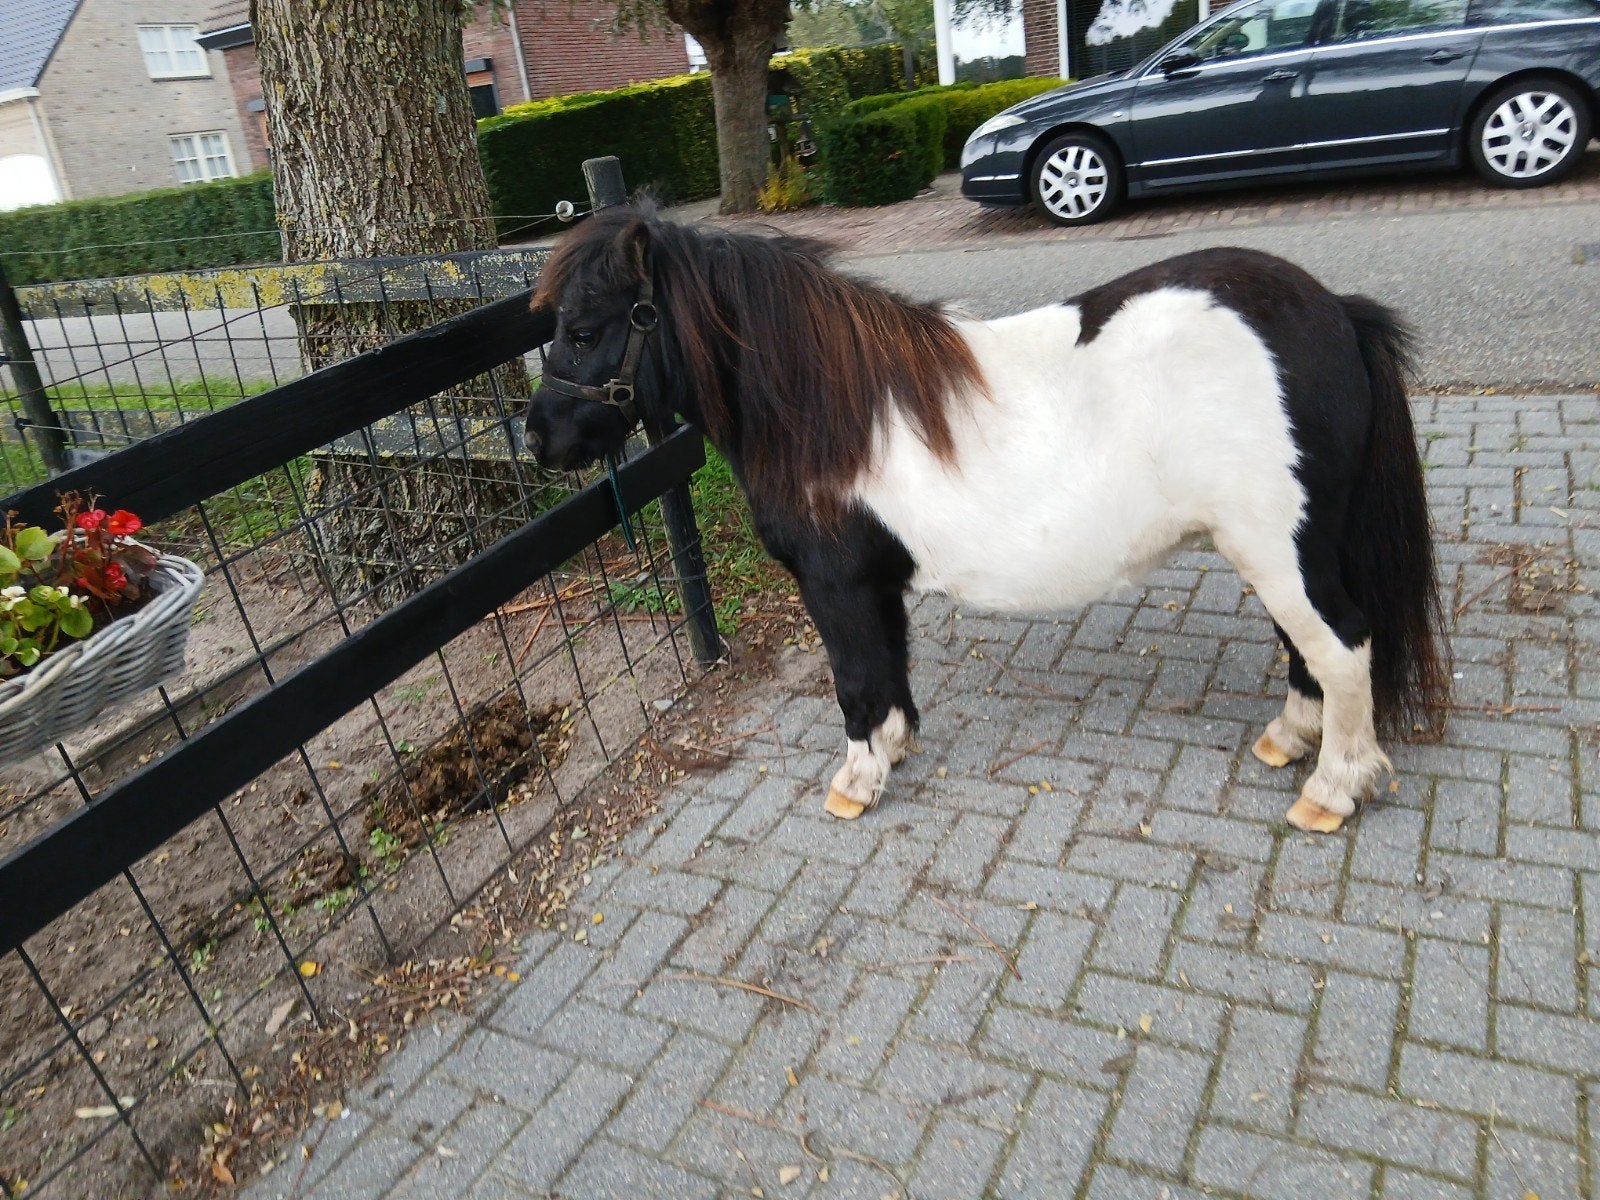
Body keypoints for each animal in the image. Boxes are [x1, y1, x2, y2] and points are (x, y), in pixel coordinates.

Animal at [522, 203, 1448, 834]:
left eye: (584, 328)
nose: (537, 439)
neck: (829, 411)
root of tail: (1335, 311)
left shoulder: (836, 585)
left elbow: (855, 682)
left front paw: (856, 783)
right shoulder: (876, 585)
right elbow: (889, 673)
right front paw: (893, 748)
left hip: (1279, 548)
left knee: (1342, 647)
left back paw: (1332, 789)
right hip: (1281, 549)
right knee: (1311, 649)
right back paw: (1289, 739)